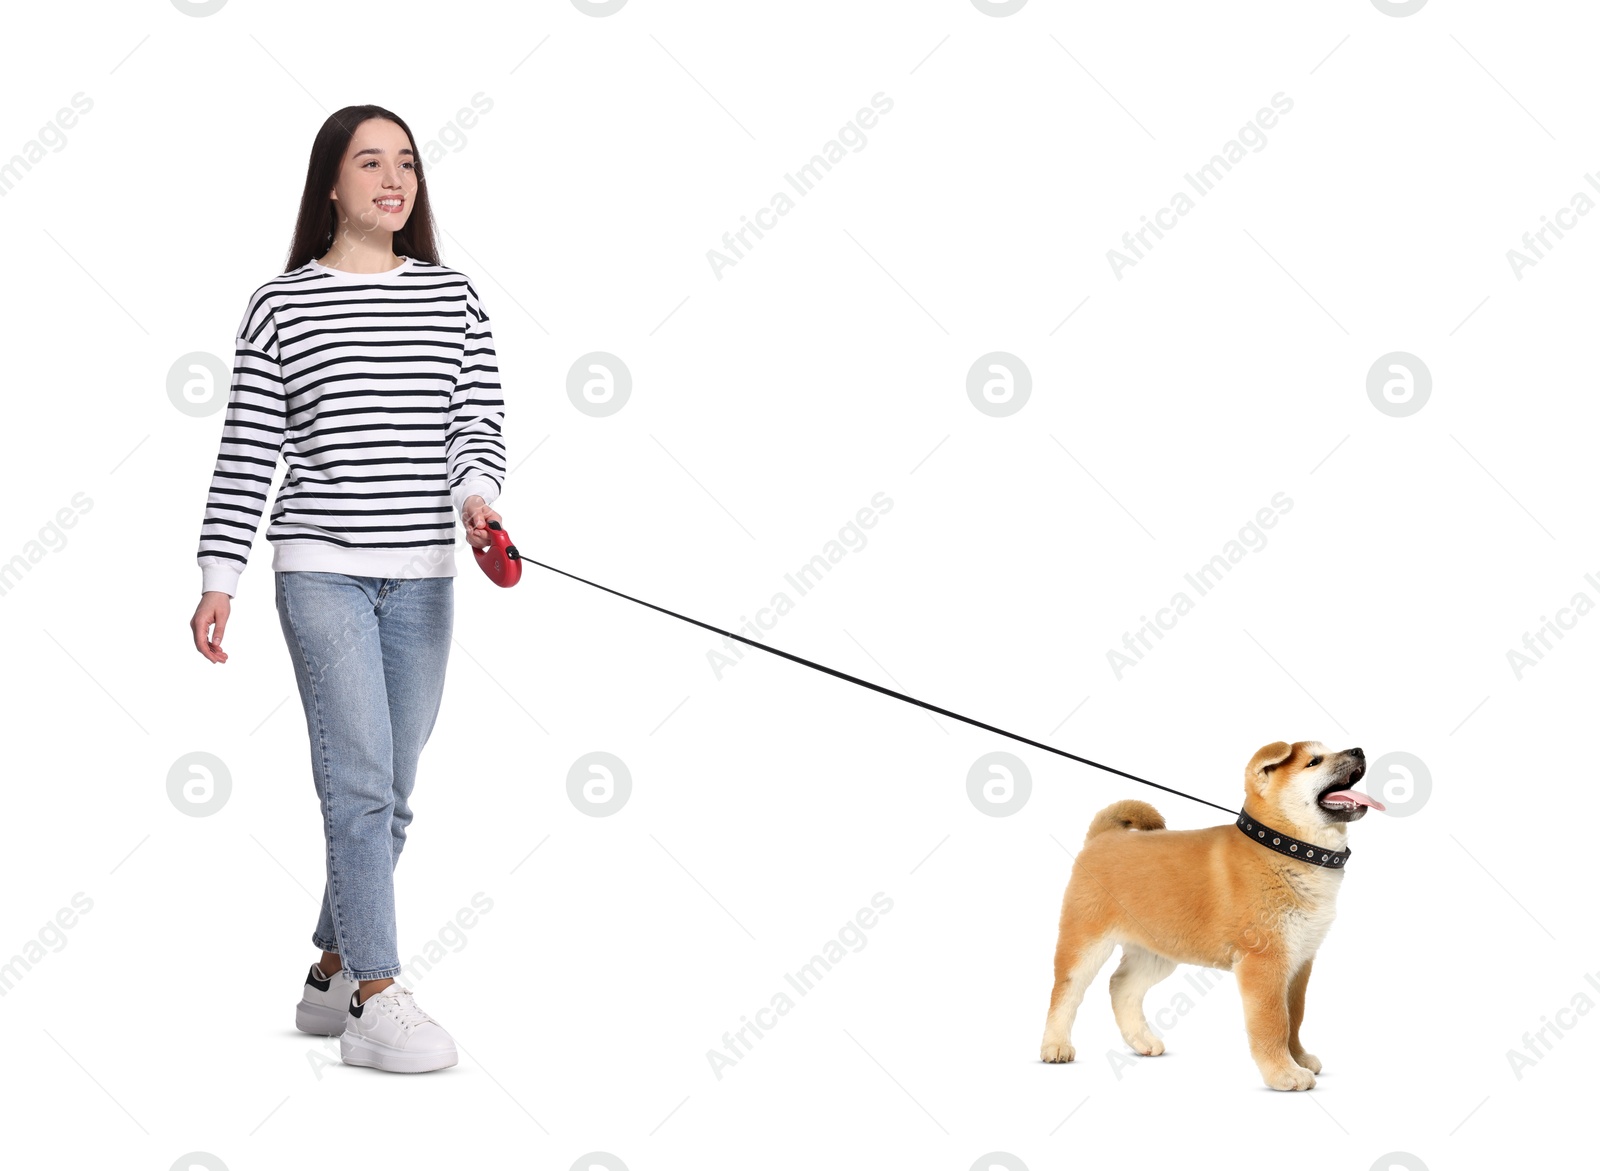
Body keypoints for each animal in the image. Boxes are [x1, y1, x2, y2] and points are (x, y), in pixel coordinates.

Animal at [1043, 742, 1382, 1087]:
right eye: (1314, 762)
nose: (1358, 750)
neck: (1282, 848)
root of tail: (1103, 838)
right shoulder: (1265, 962)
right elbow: (1273, 1022)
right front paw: (1283, 1073)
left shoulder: (1299, 960)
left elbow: (1295, 1017)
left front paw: (1298, 1057)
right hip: (1086, 943)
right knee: (1065, 992)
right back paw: (1055, 1045)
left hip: (1157, 952)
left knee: (1120, 985)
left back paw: (1142, 1040)